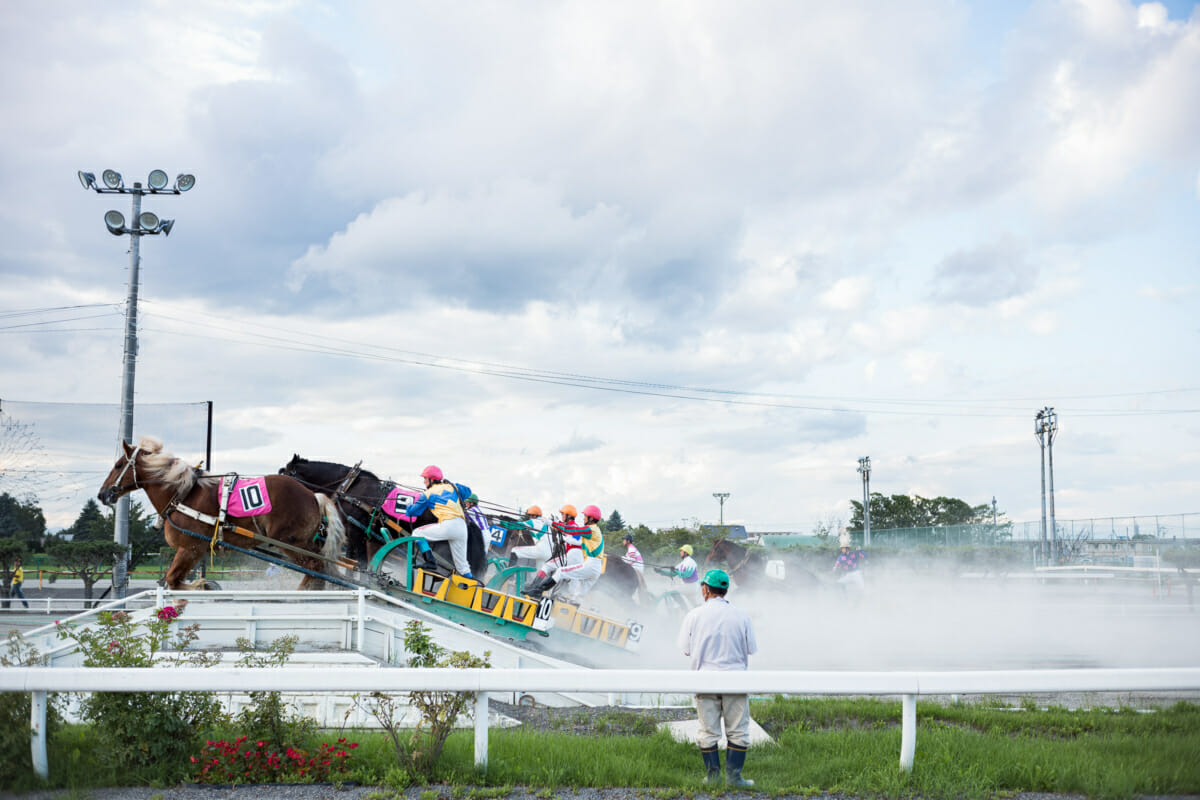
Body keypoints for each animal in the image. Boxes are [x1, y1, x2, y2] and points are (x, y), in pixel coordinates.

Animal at [97, 434, 345, 592]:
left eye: (118, 466)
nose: (102, 494)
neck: (183, 495)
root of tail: (313, 495)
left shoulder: (189, 549)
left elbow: (173, 579)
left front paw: (202, 585)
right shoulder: (195, 550)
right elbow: (174, 580)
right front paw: (204, 585)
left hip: (291, 542)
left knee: (316, 568)